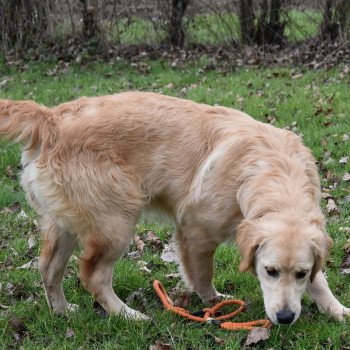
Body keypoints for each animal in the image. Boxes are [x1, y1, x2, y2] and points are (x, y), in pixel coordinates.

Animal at [0, 91, 350, 324]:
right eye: (270, 271)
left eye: (300, 273)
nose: (286, 316)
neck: (271, 172)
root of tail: (51, 119)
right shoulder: (196, 231)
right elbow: (203, 275)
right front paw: (212, 305)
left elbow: (320, 280)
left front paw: (336, 309)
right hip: (117, 222)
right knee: (93, 277)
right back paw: (129, 315)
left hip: (67, 223)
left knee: (49, 268)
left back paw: (61, 310)